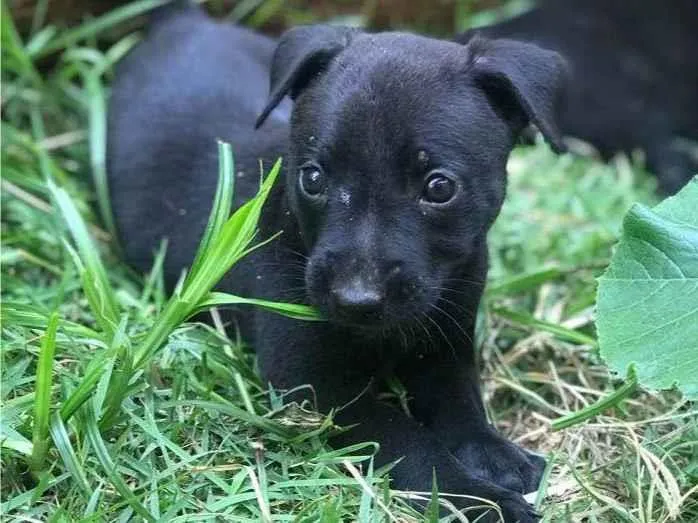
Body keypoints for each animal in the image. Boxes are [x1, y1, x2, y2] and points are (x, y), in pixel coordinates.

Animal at [107, 3, 564, 520]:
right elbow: (409, 439)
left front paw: (494, 454)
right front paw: (481, 498)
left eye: (439, 187)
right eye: (312, 178)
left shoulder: (446, 343)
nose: (355, 299)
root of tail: (183, 21)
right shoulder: (314, 387)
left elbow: (460, 403)